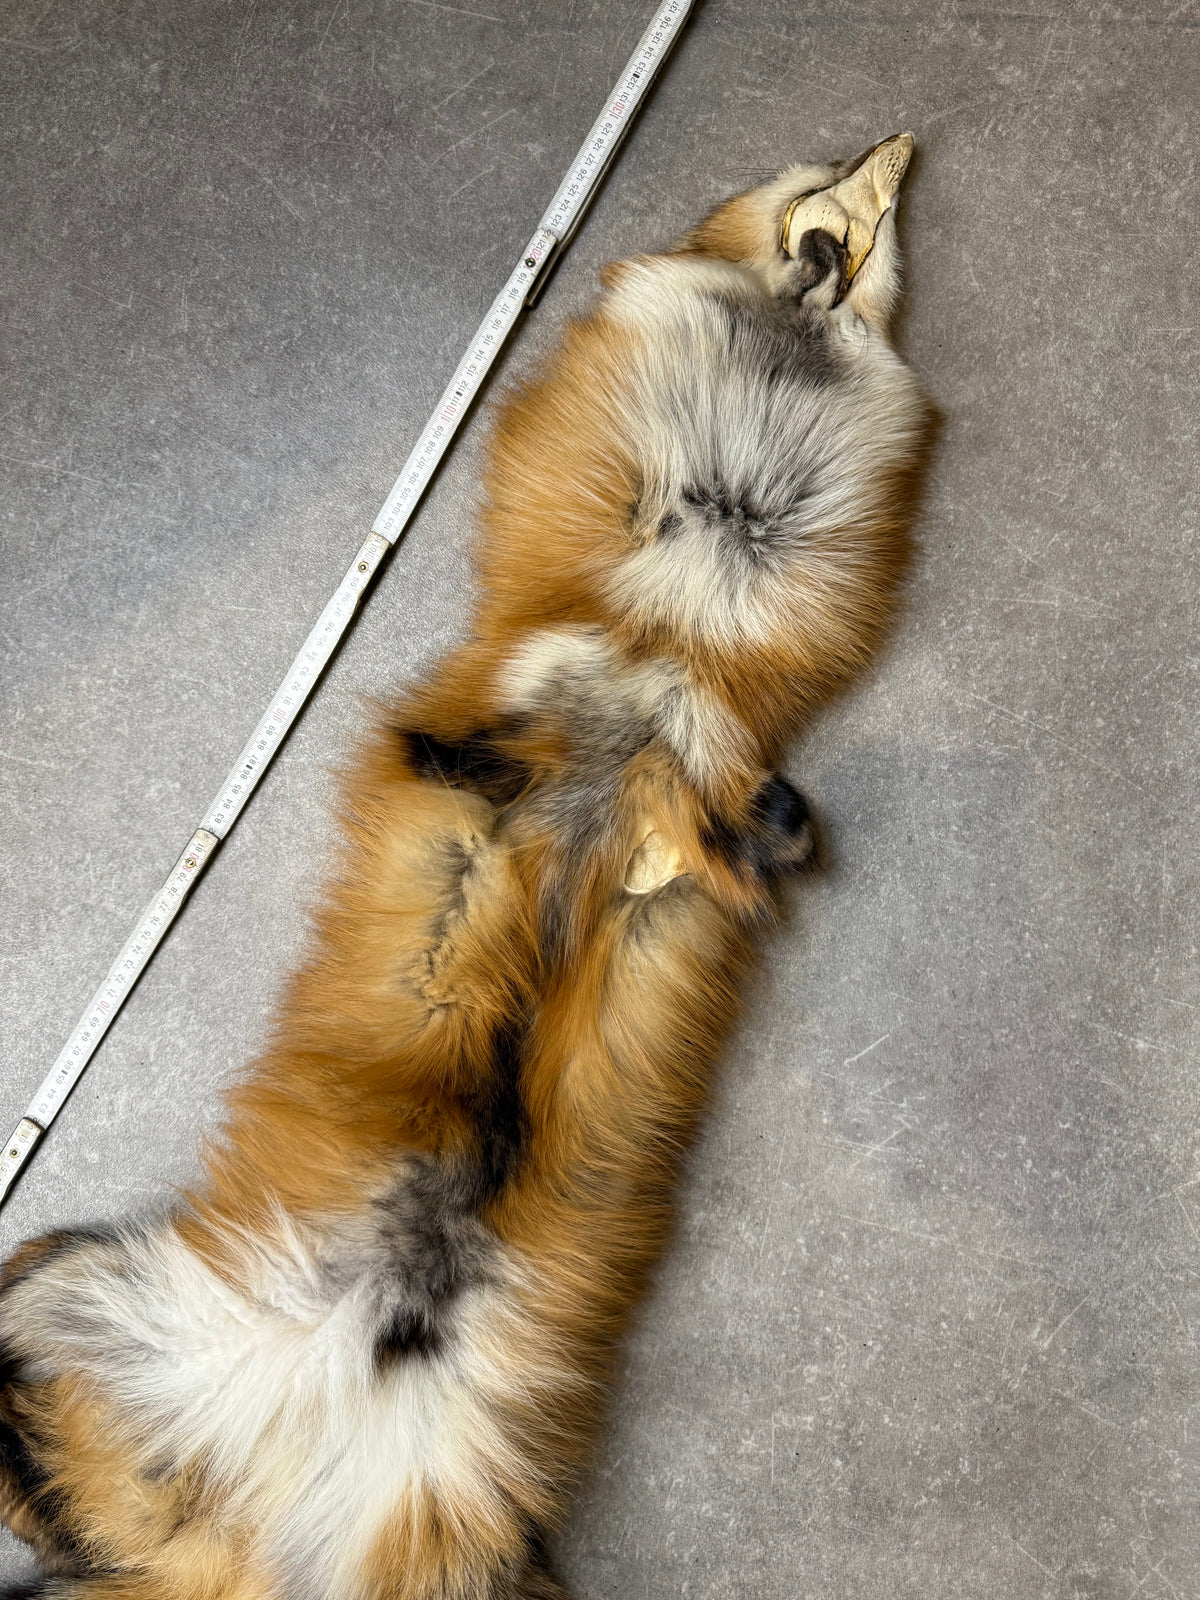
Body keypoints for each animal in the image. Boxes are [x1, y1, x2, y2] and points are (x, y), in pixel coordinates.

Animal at [0, 135, 930, 1600]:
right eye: (829, 180)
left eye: (877, 200)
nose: (905, 148)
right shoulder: (551, 667)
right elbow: (506, 744)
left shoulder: (698, 736)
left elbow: (720, 826)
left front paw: (744, 841)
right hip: (72, 1286)